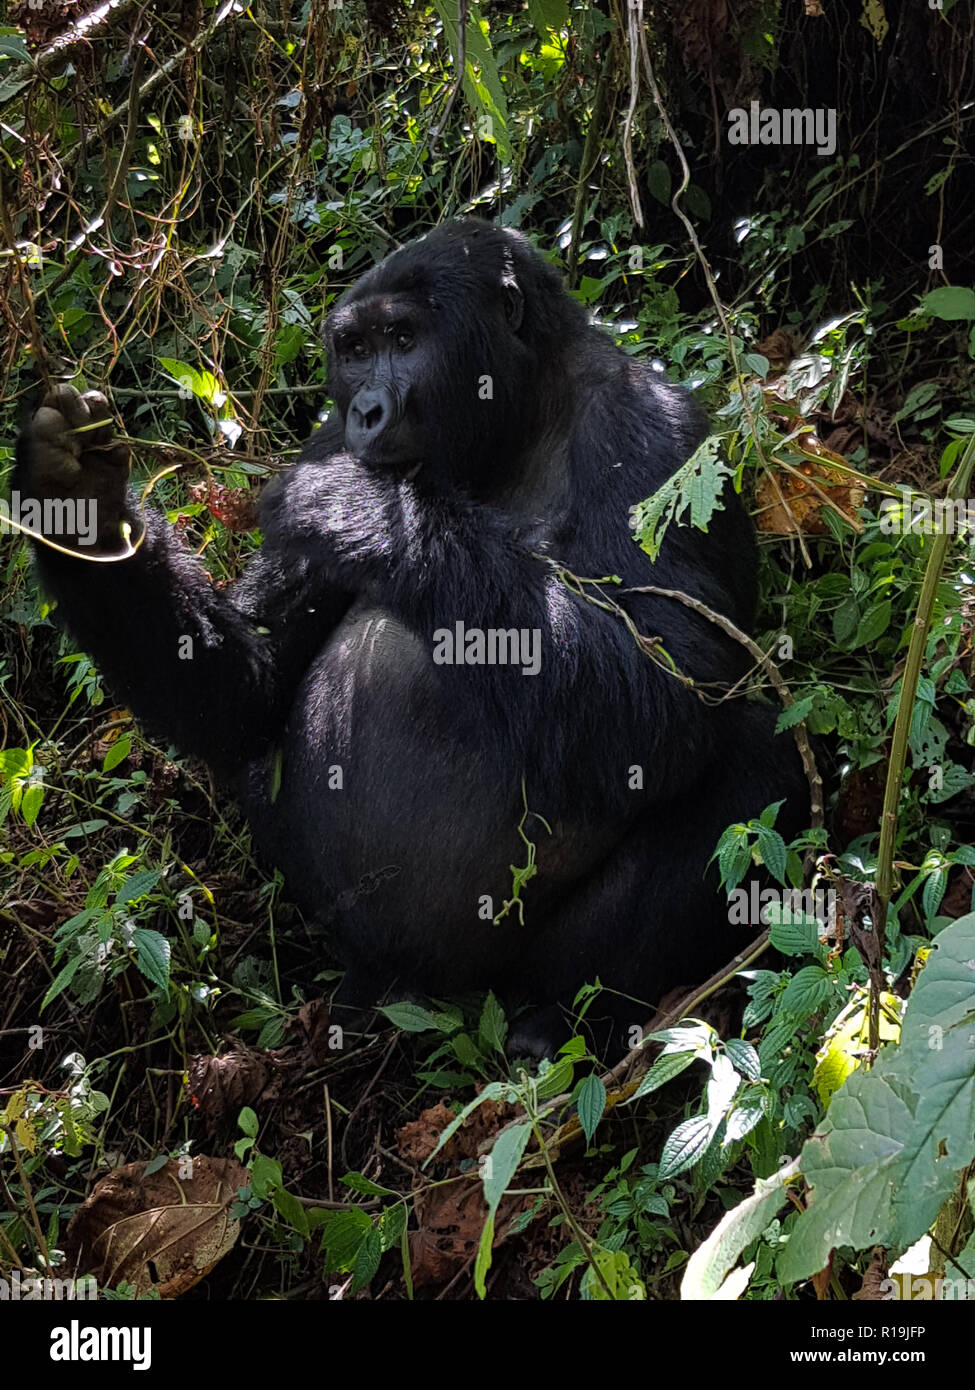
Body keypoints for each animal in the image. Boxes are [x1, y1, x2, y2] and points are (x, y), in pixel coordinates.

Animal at [15, 222, 806, 1056]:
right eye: (354, 349)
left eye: (402, 339)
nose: (366, 409)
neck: (520, 415)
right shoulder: (323, 437)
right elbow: (249, 692)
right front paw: (79, 503)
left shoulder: (655, 432)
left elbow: (676, 690)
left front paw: (359, 510)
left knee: (755, 769)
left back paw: (558, 1019)